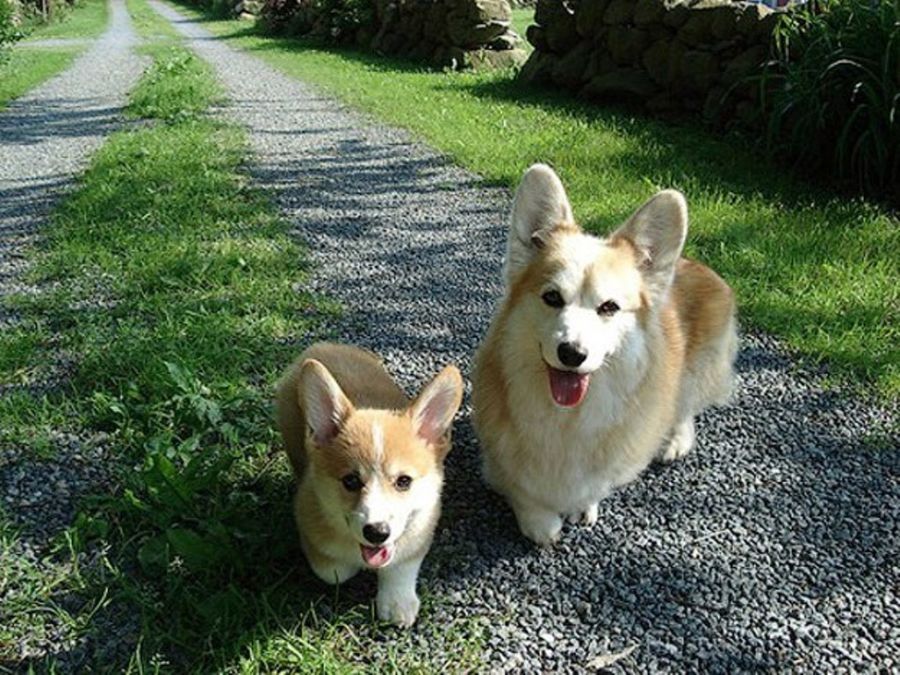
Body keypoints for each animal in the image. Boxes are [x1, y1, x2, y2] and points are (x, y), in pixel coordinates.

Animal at [278, 344, 464, 628]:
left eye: (404, 481)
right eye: (351, 481)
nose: (377, 533)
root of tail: (323, 345)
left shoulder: (420, 529)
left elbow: (402, 565)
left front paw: (397, 602)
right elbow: (334, 571)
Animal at [472, 166, 740, 548]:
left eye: (609, 307)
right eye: (552, 297)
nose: (572, 353)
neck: (567, 420)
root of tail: (698, 265)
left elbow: (594, 485)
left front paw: (583, 505)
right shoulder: (496, 462)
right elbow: (525, 496)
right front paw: (543, 522)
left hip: (698, 371)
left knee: (685, 411)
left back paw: (674, 442)